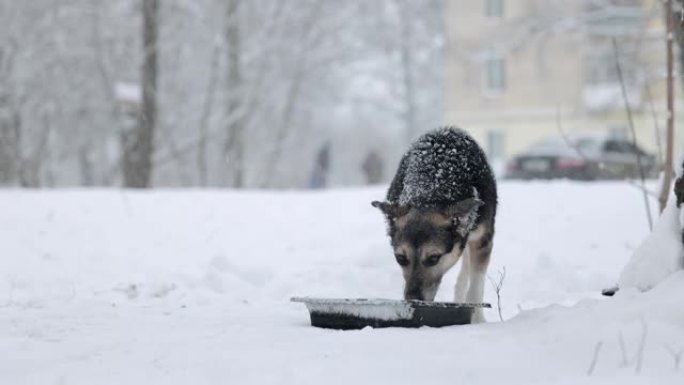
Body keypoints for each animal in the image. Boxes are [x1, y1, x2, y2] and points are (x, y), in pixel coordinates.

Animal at [374, 126, 496, 320]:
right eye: (400, 258)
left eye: (433, 258)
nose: (413, 299)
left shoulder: (482, 240)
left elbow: (476, 286)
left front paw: (477, 320)